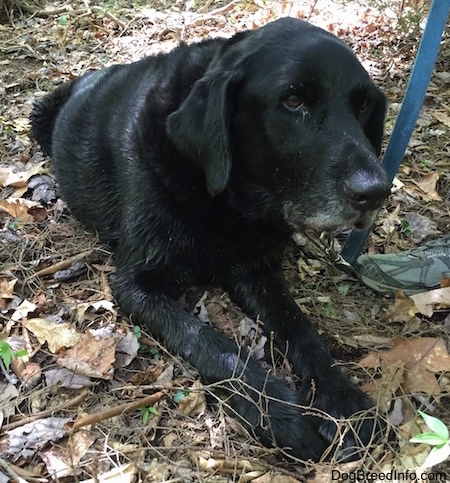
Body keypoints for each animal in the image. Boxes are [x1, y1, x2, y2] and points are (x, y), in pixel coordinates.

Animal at [31, 17, 390, 462]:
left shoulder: (258, 271)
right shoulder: (136, 284)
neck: (227, 200)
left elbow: (302, 329)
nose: (376, 191)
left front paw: (343, 397)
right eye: (293, 101)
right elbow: (210, 342)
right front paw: (277, 412)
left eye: (363, 105)